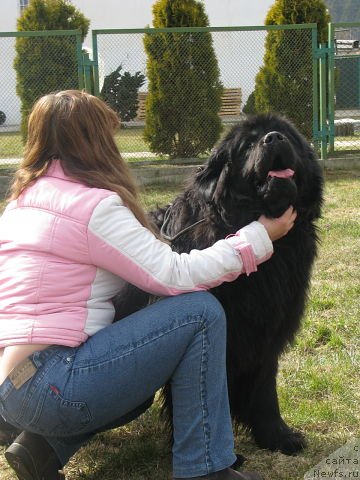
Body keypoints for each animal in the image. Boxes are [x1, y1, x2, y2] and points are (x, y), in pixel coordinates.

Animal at [114, 110, 324, 456]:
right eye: (248, 144)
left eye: (286, 135)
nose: (273, 139)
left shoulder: (267, 330)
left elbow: (264, 388)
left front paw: (276, 436)